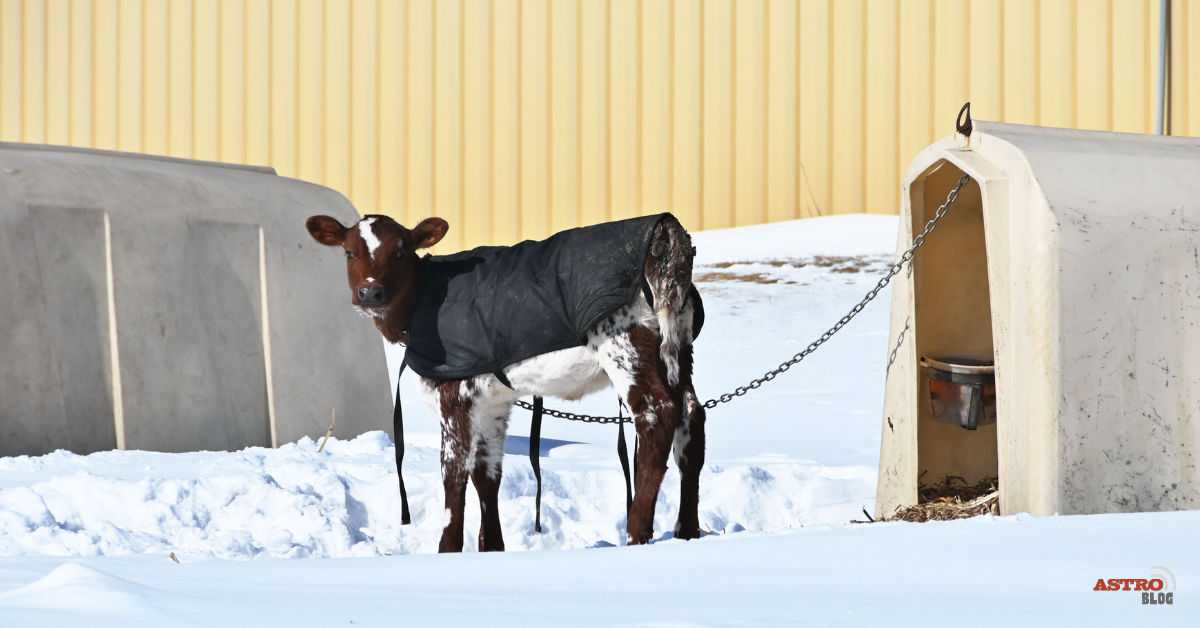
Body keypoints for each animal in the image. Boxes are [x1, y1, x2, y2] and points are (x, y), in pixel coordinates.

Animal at [304, 213, 705, 552]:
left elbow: (453, 474)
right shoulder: (492, 402)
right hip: (679, 348)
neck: (420, 303)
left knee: (657, 416)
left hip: (625, 344)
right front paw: (492, 548)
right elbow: (486, 474)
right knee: (691, 419)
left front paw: (447, 548)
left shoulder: (454, 396)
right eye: (349, 252)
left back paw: (637, 533)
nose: (370, 293)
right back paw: (686, 531)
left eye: (400, 252)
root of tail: (664, 228)